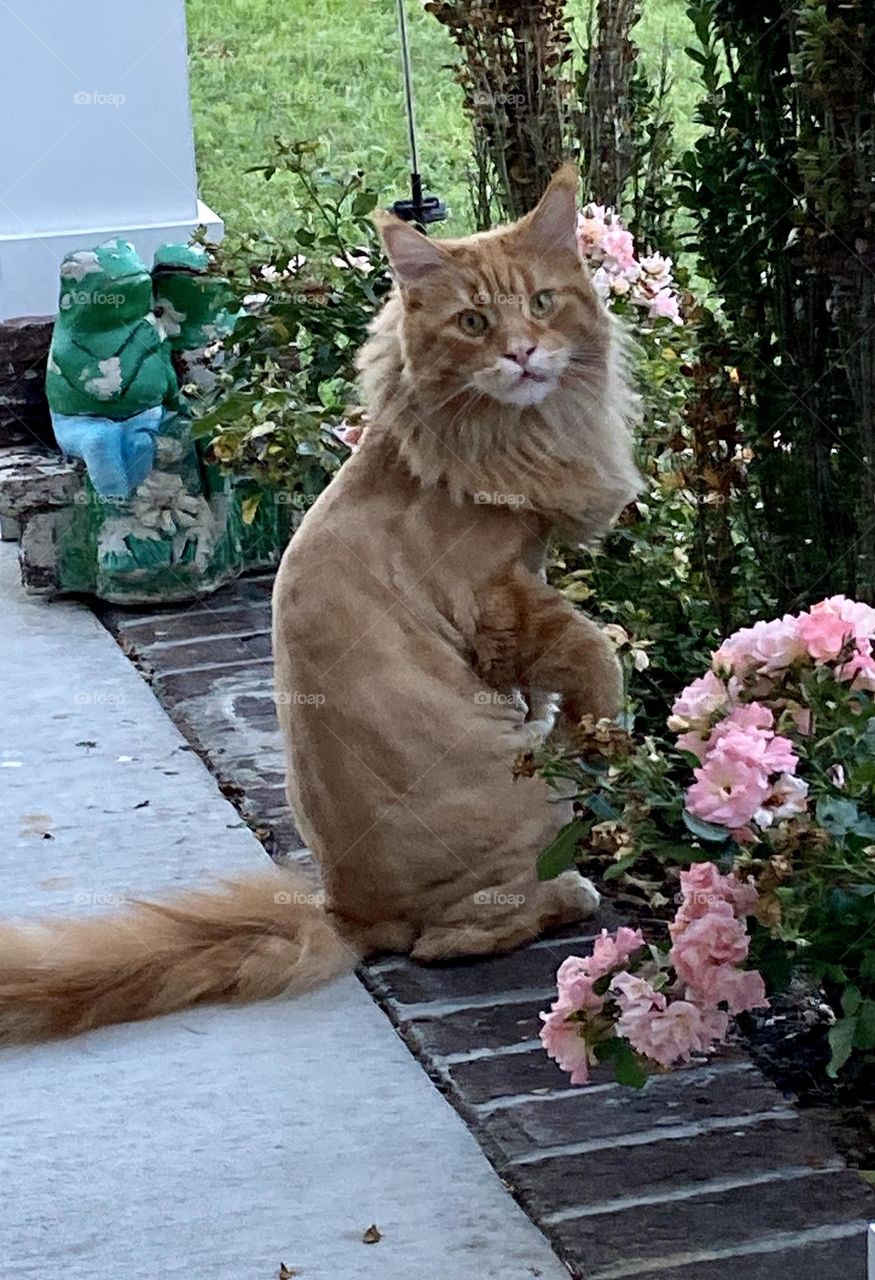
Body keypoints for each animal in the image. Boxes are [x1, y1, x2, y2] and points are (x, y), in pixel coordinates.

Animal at [3, 165, 639, 1039]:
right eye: (474, 322)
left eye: (542, 303)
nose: (521, 353)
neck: (495, 434)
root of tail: (344, 911)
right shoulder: (498, 598)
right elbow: (595, 655)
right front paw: (599, 728)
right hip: (526, 813)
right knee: (451, 940)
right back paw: (567, 891)